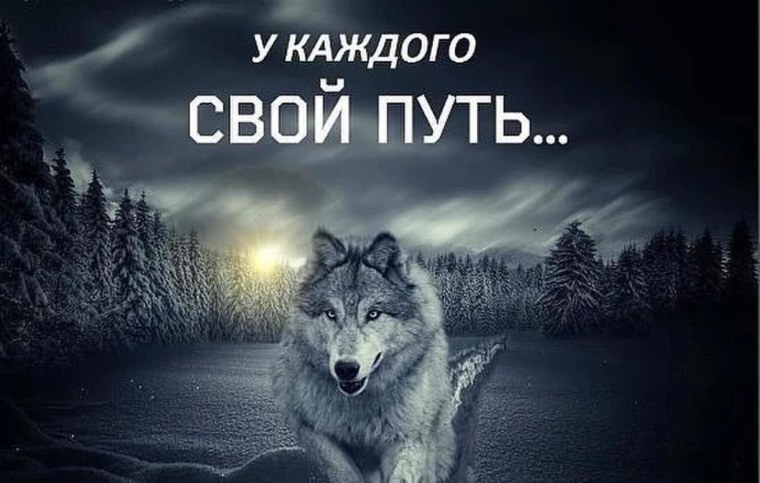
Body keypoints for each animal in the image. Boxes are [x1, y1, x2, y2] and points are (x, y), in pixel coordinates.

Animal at [272, 229, 456, 483]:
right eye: (331, 313)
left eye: (373, 314)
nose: (346, 368)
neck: (359, 407)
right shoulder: (313, 431)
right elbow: (344, 473)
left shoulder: (409, 436)